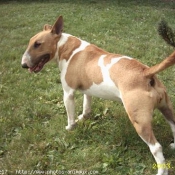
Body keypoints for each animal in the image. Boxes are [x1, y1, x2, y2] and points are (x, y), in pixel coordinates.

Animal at [21, 16, 175, 174]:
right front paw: (83, 118)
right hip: (166, 108)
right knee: (173, 125)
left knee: (156, 147)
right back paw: (173, 146)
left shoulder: (68, 93)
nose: (23, 65)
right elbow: (86, 107)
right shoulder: (87, 90)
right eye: (30, 42)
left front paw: (70, 128)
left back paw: (162, 171)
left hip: (139, 120)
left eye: (38, 44)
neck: (66, 48)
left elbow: (70, 116)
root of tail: (146, 72)